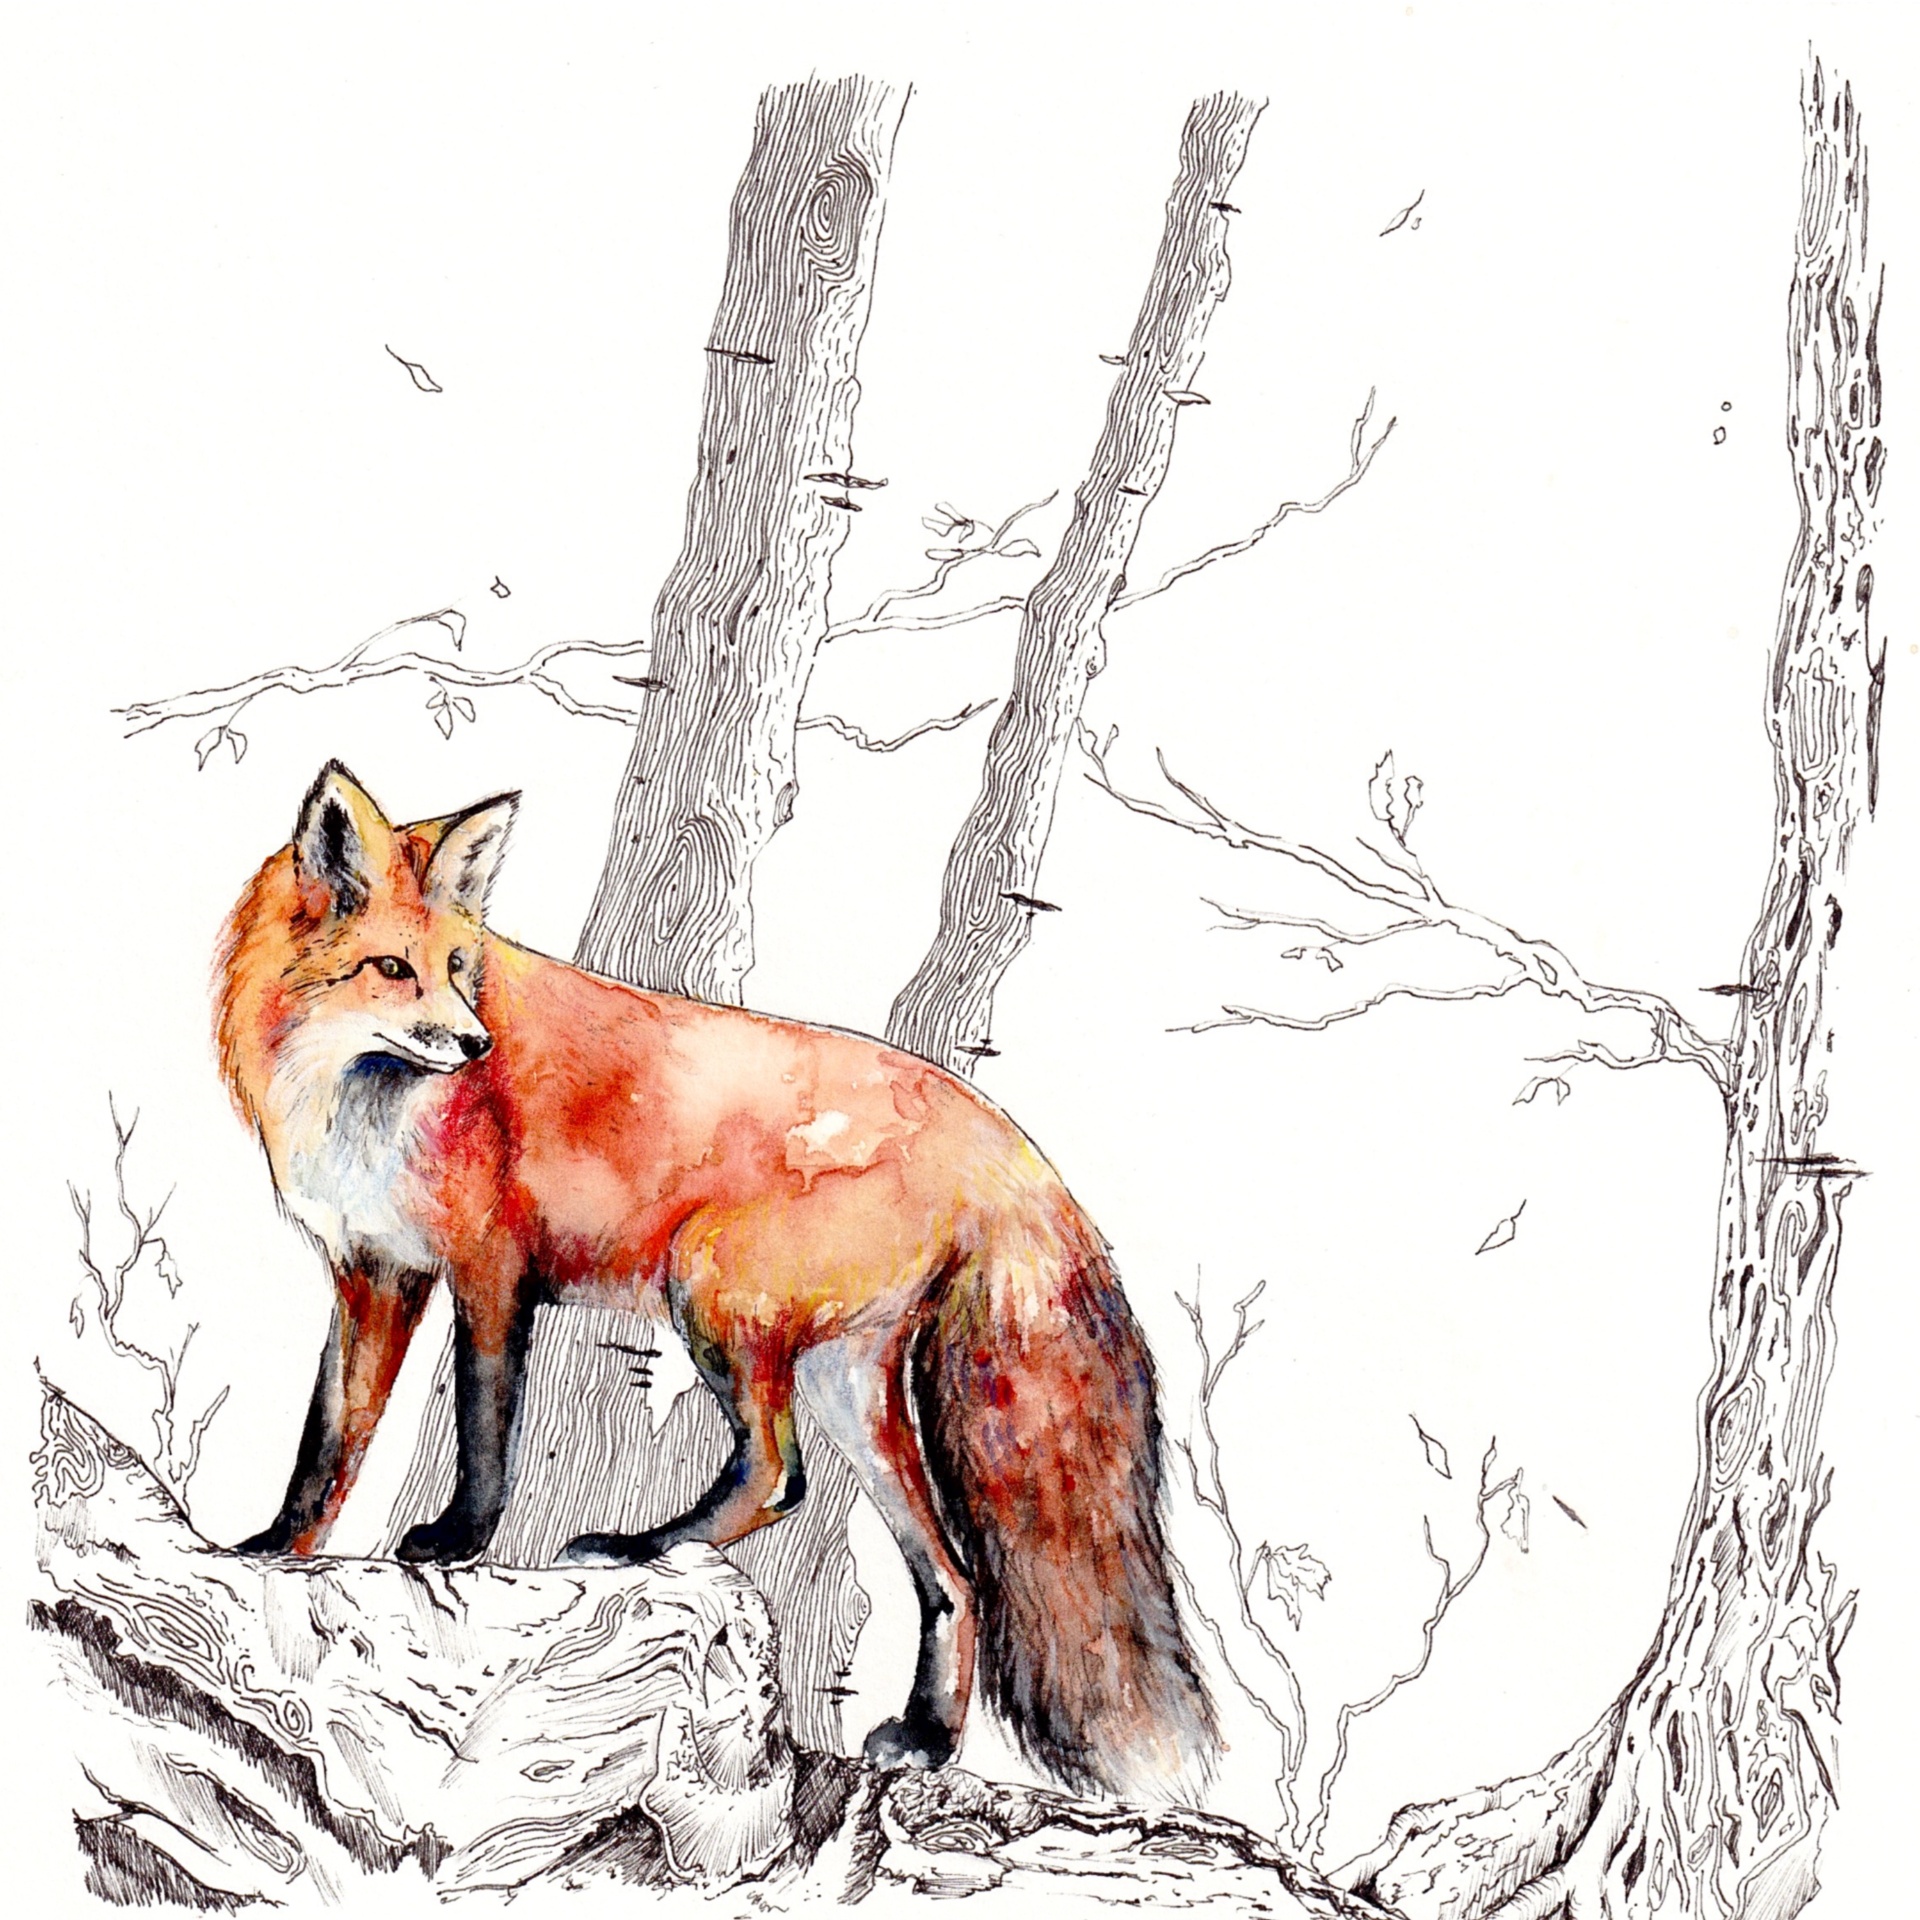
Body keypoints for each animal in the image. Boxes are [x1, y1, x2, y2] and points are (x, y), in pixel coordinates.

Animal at [216, 761, 1216, 1798]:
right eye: (392, 969)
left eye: (459, 967)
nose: (476, 1046)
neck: (356, 1102)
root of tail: (996, 1136)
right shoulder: (373, 1272)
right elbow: (330, 1437)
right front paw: (273, 1550)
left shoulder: (489, 1267)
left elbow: (485, 1424)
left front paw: (457, 1542)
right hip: (844, 1385)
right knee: (950, 1575)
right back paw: (928, 1738)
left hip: (713, 1297)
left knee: (779, 1478)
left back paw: (641, 1549)